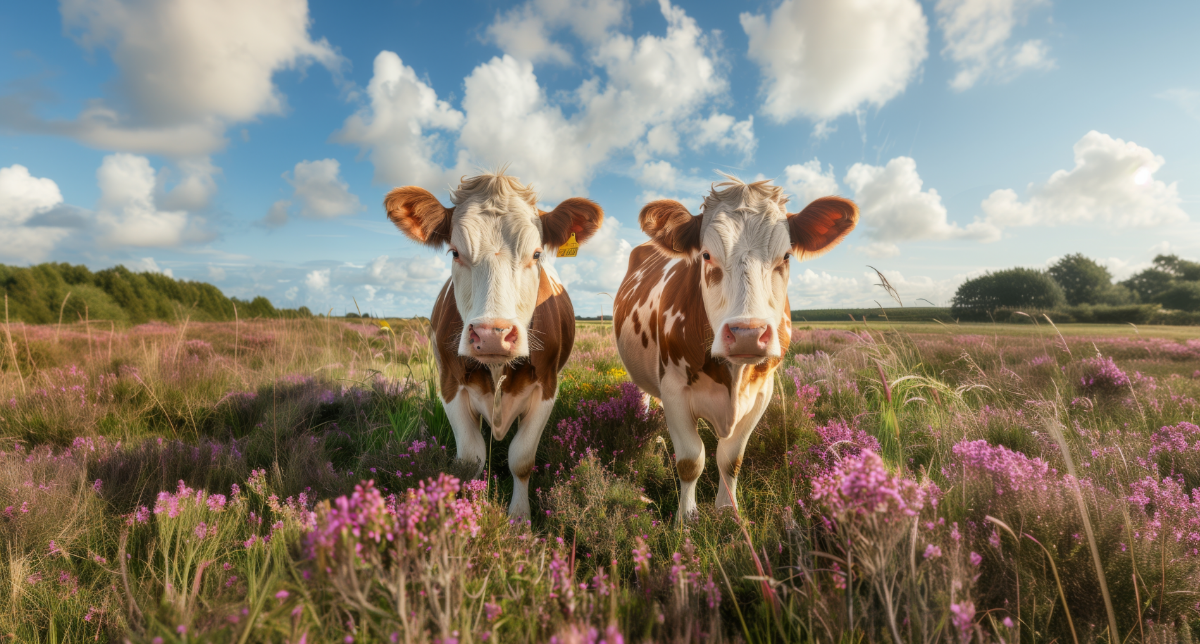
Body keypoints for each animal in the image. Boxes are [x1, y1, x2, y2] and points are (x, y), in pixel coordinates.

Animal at [386, 170, 604, 518]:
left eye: (536, 254)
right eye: (455, 252)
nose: (492, 334)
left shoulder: (547, 387)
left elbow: (521, 459)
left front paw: (519, 516)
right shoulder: (449, 385)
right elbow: (470, 460)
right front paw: (471, 511)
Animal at [614, 177, 859, 522]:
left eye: (786, 256)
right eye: (705, 255)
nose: (747, 334)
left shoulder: (761, 393)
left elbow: (730, 459)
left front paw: (728, 511)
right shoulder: (675, 392)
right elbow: (690, 460)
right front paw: (686, 518)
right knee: (643, 395)